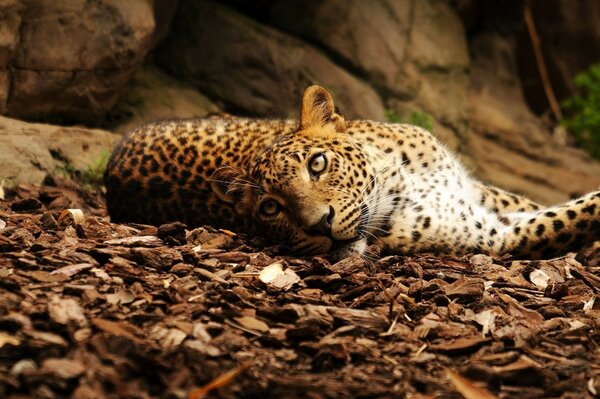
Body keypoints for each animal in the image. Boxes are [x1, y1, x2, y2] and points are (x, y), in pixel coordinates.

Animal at [105, 86, 600, 260]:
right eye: (271, 208)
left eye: (317, 164)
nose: (318, 226)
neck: (401, 181)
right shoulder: (495, 235)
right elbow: (574, 216)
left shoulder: (475, 191)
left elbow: (534, 202)